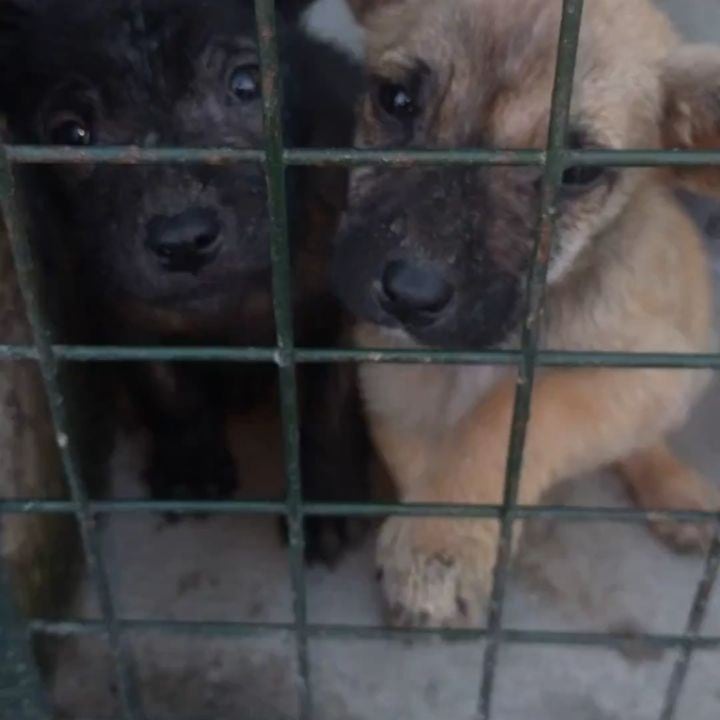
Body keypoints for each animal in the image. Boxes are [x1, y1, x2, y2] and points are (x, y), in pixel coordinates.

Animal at [0, 0, 368, 564]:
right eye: (71, 134)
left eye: (246, 84)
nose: (184, 240)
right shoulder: (118, 303)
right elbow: (163, 386)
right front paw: (191, 469)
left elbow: (332, 398)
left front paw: (324, 504)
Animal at [334, 0, 720, 624]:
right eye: (395, 100)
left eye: (576, 173)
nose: (410, 292)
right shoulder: (393, 382)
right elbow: (419, 457)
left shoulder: (646, 371)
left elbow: (517, 413)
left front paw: (440, 536)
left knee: (643, 443)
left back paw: (676, 490)